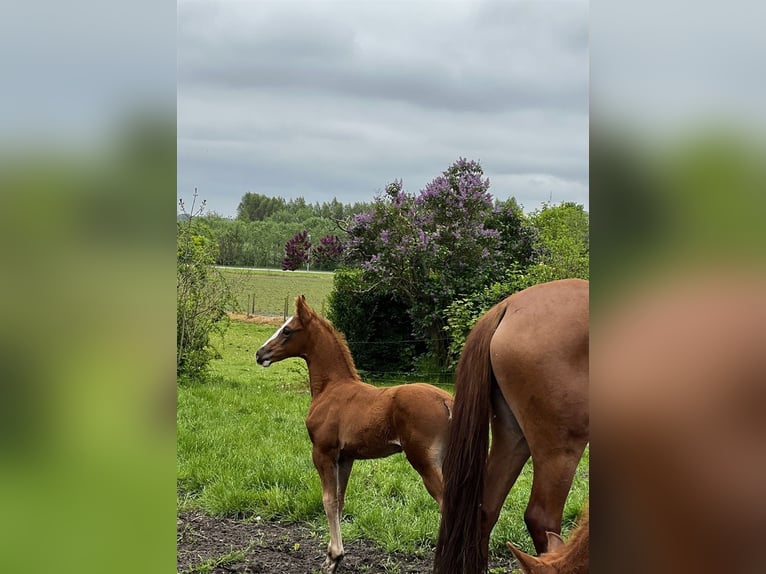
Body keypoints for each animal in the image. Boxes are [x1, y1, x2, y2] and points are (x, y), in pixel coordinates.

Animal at [255, 296, 452, 574]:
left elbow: (328, 500)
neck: (331, 388)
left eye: (287, 330)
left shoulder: (323, 453)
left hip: (424, 462)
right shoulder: (346, 457)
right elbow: (340, 501)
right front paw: (333, 556)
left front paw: (333, 557)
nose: (260, 354)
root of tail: (446, 400)